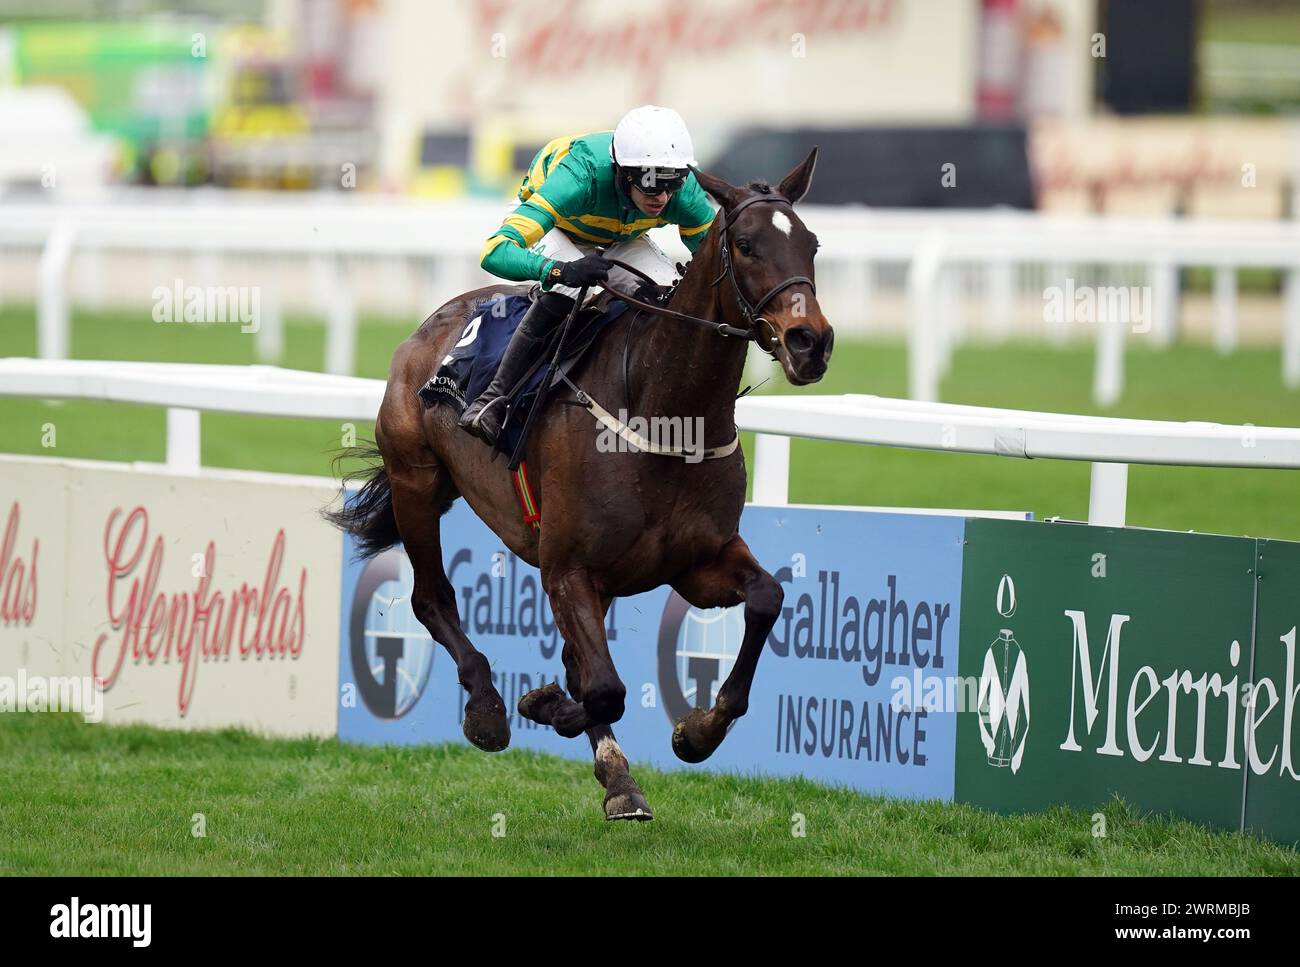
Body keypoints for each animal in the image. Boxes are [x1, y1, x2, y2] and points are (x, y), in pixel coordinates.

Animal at [325, 149, 832, 816]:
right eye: (746, 245)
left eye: (812, 244)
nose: (810, 342)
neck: (663, 416)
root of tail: (432, 324)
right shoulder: (566, 568)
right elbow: (603, 687)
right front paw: (538, 705)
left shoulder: (696, 562)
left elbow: (766, 599)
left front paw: (697, 733)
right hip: (416, 481)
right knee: (431, 599)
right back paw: (488, 710)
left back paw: (615, 776)